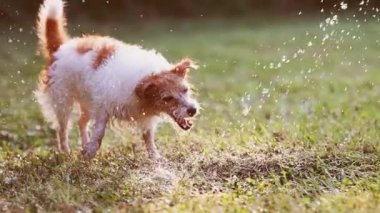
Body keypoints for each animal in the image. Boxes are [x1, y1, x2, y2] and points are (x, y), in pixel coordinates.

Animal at [35, 0, 200, 160]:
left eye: (185, 90)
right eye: (167, 98)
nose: (192, 110)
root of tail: (61, 48)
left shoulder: (144, 118)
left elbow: (148, 137)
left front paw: (155, 157)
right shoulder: (103, 108)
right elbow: (99, 133)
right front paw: (91, 152)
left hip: (88, 103)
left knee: (81, 122)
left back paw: (83, 145)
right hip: (63, 103)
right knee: (62, 129)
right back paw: (65, 151)